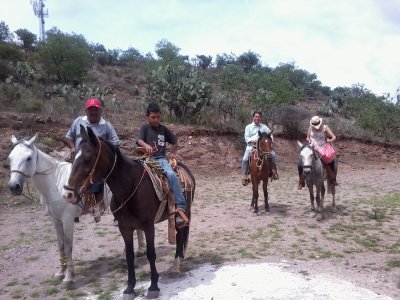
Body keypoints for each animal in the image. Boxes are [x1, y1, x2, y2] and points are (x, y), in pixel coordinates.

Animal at [7, 135, 146, 284]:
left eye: (28, 158)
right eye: (10, 158)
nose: (13, 186)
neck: (55, 184)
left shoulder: (67, 219)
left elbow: (68, 246)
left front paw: (69, 276)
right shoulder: (55, 220)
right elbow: (60, 245)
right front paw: (60, 272)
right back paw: (139, 250)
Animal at [62, 125, 195, 298]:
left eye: (87, 158)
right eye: (73, 158)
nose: (68, 194)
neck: (130, 187)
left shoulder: (148, 226)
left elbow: (151, 253)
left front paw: (153, 286)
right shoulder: (125, 227)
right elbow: (130, 256)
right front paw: (130, 288)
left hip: (183, 212)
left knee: (180, 235)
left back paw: (176, 265)